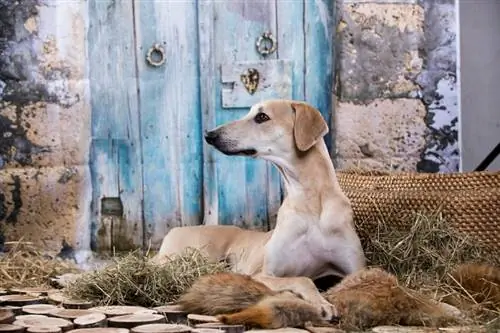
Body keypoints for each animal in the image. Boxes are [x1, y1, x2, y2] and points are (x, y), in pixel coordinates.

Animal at [150, 99, 366, 320]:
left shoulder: (355, 268)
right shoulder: (261, 273)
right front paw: (321, 303)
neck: (311, 204)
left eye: (262, 117)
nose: (209, 135)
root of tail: (176, 230)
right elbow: (302, 279)